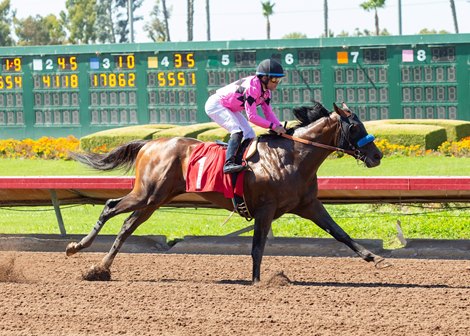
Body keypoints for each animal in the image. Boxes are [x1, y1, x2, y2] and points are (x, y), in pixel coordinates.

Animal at [67, 101, 390, 282]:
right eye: (355, 127)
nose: (377, 156)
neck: (292, 157)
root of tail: (150, 143)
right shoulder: (265, 210)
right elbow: (257, 247)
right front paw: (258, 282)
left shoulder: (309, 204)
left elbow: (340, 233)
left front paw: (375, 258)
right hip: (147, 194)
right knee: (110, 206)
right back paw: (77, 247)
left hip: (155, 199)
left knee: (127, 226)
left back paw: (100, 268)